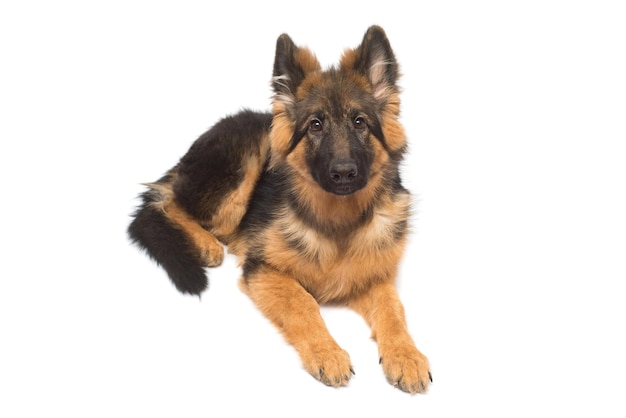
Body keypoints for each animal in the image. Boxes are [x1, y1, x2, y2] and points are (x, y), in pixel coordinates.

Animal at [127, 26, 428, 396]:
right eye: (315, 125)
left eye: (360, 122)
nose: (343, 173)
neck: (337, 222)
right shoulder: (263, 269)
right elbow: (303, 302)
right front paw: (327, 353)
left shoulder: (373, 277)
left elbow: (393, 309)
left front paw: (407, 355)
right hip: (245, 163)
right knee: (169, 201)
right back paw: (205, 243)